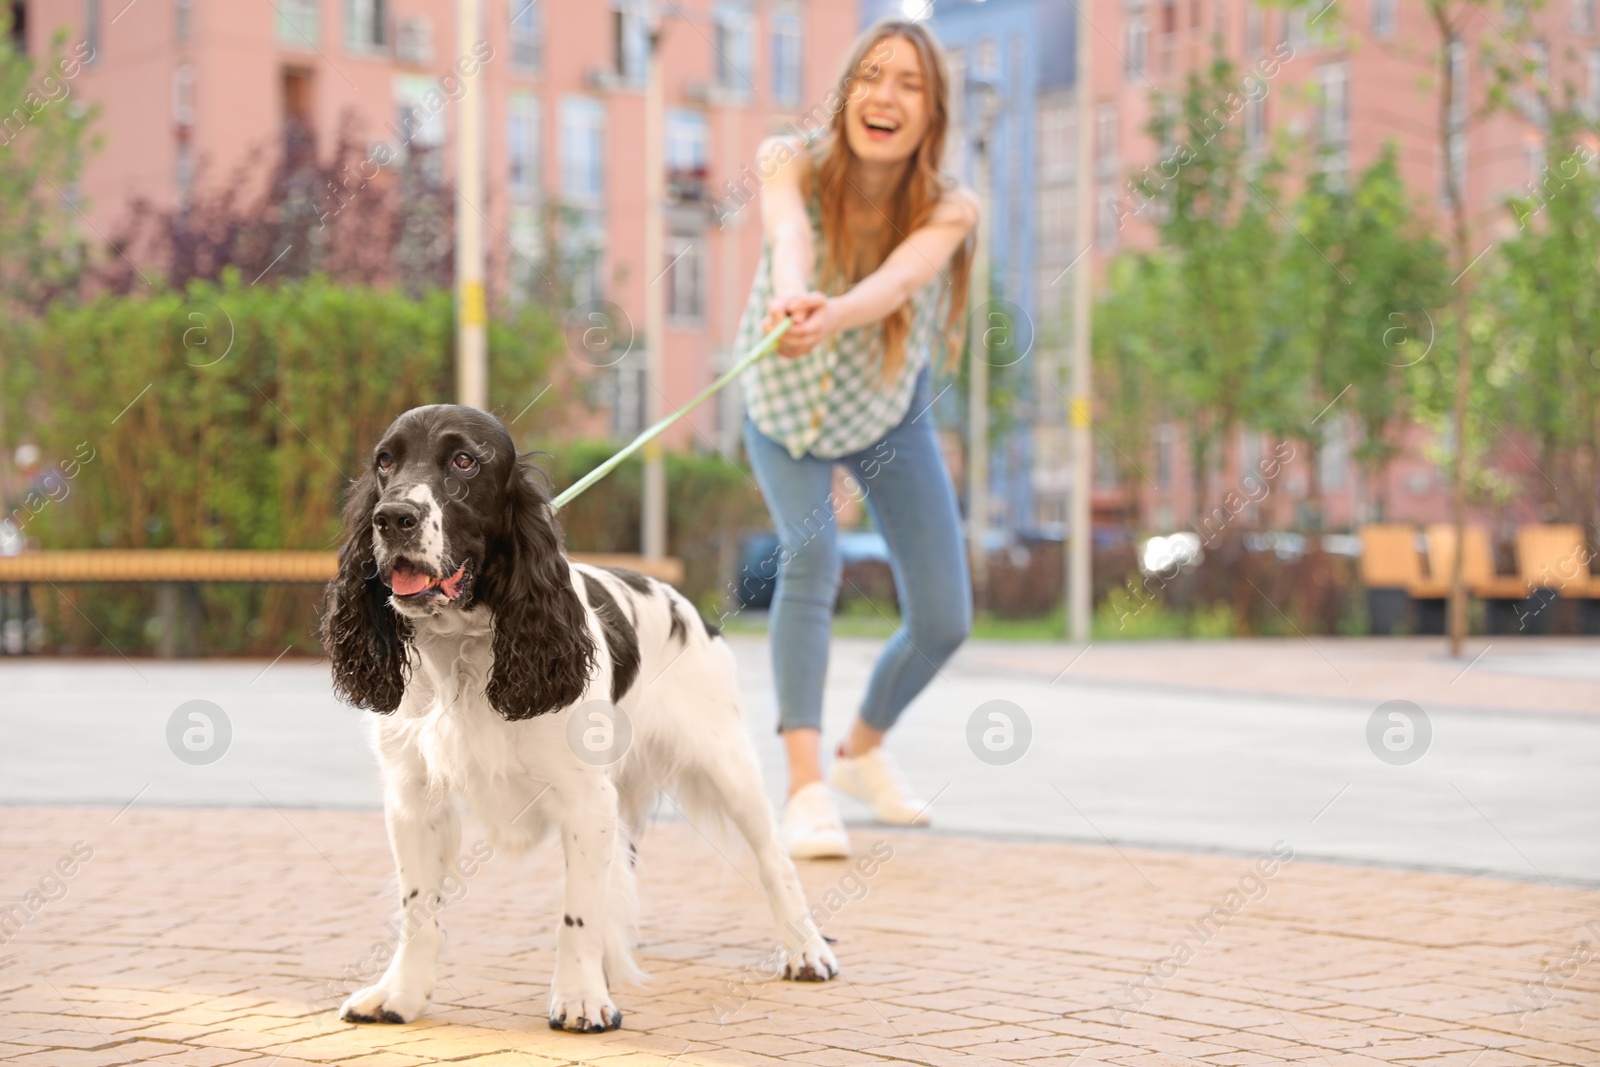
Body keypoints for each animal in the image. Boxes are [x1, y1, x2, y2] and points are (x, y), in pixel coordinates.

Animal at [316, 404, 832, 1030]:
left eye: (464, 461)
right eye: (385, 462)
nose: (393, 518)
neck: (466, 650)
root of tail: (686, 605)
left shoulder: (586, 801)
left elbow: (578, 914)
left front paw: (581, 998)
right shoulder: (414, 800)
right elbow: (418, 910)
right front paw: (400, 994)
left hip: (726, 763)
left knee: (774, 860)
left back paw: (807, 950)